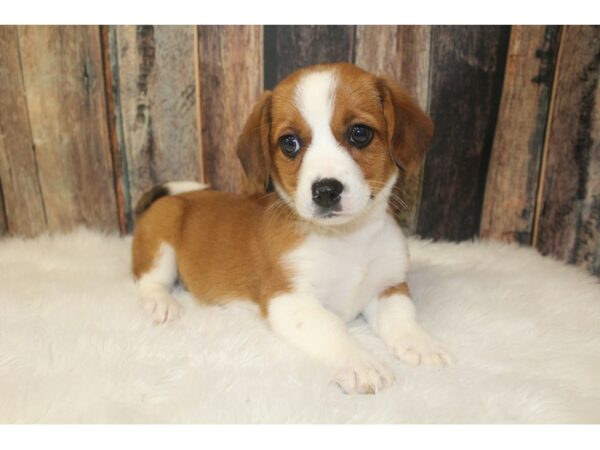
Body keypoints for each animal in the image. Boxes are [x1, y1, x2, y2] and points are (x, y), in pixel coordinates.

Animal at [131, 62, 450, 394]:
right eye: (290, 142)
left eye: (360, 133)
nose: (325, 191)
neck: (347, 240)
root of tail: (174, 197)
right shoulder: (290, 301)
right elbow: (333, 330)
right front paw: (361, 364)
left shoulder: (389, 288)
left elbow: (403, 319)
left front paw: (422, 344)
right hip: (163, 238)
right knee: (147, 280)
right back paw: (162, 303)